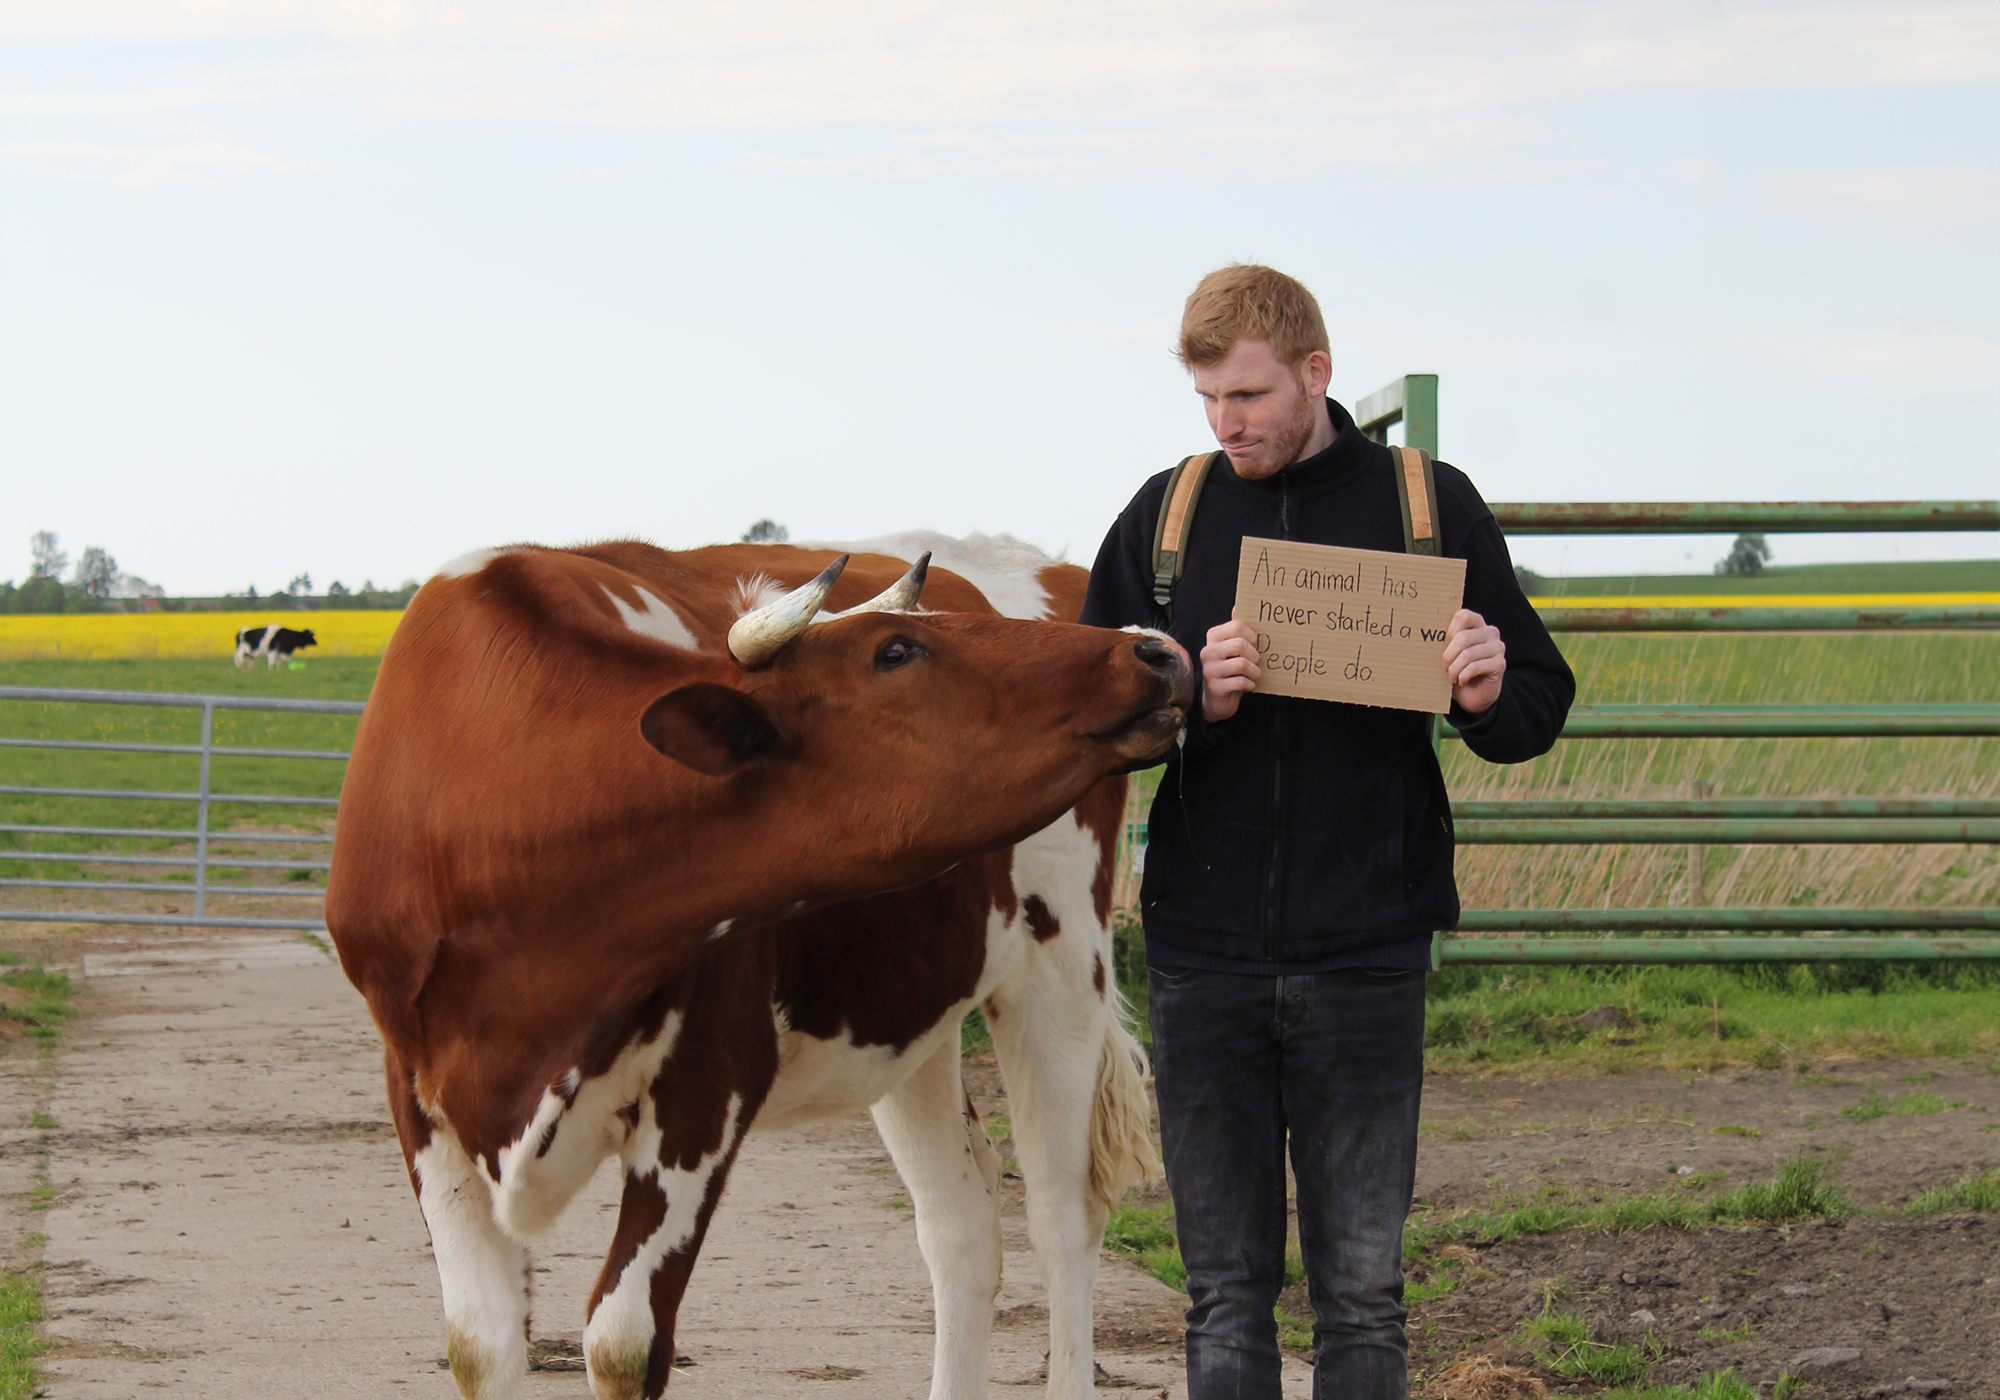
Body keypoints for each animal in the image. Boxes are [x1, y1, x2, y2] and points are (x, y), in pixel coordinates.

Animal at [328, 536, 1184, 1400]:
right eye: (896, 650)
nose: (1153, 649)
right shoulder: (420, 1092)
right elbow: (480, 1344)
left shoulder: (708, 1081)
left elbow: (623, 1343)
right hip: (909, 1014)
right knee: (961, 1218)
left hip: (1061, 966)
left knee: (1061, 1215)